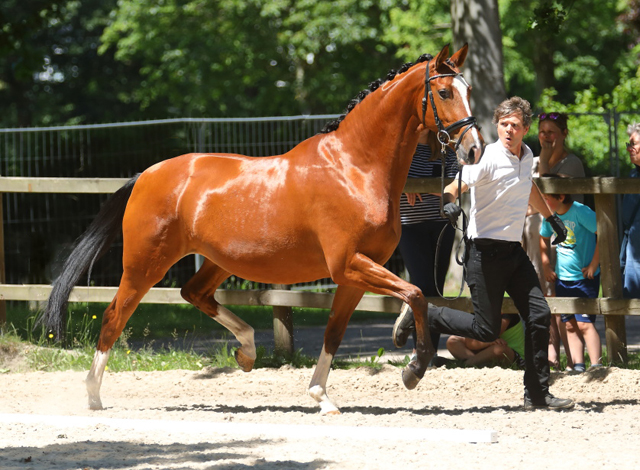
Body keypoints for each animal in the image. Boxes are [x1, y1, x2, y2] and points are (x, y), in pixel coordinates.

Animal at [42, 42, 482, 414]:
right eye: (445, 92)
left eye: (469, 89)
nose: (474, 148)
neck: (354, 167)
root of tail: (146, 175)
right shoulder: (349, 264)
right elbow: (417, 295)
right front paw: (414, 370)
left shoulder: (354, 274)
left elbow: (335, 332)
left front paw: (321, 398)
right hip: (145, 263)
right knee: (115, 314)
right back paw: (94, 396)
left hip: (218, 261)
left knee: (193, 294)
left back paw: (247, 352)